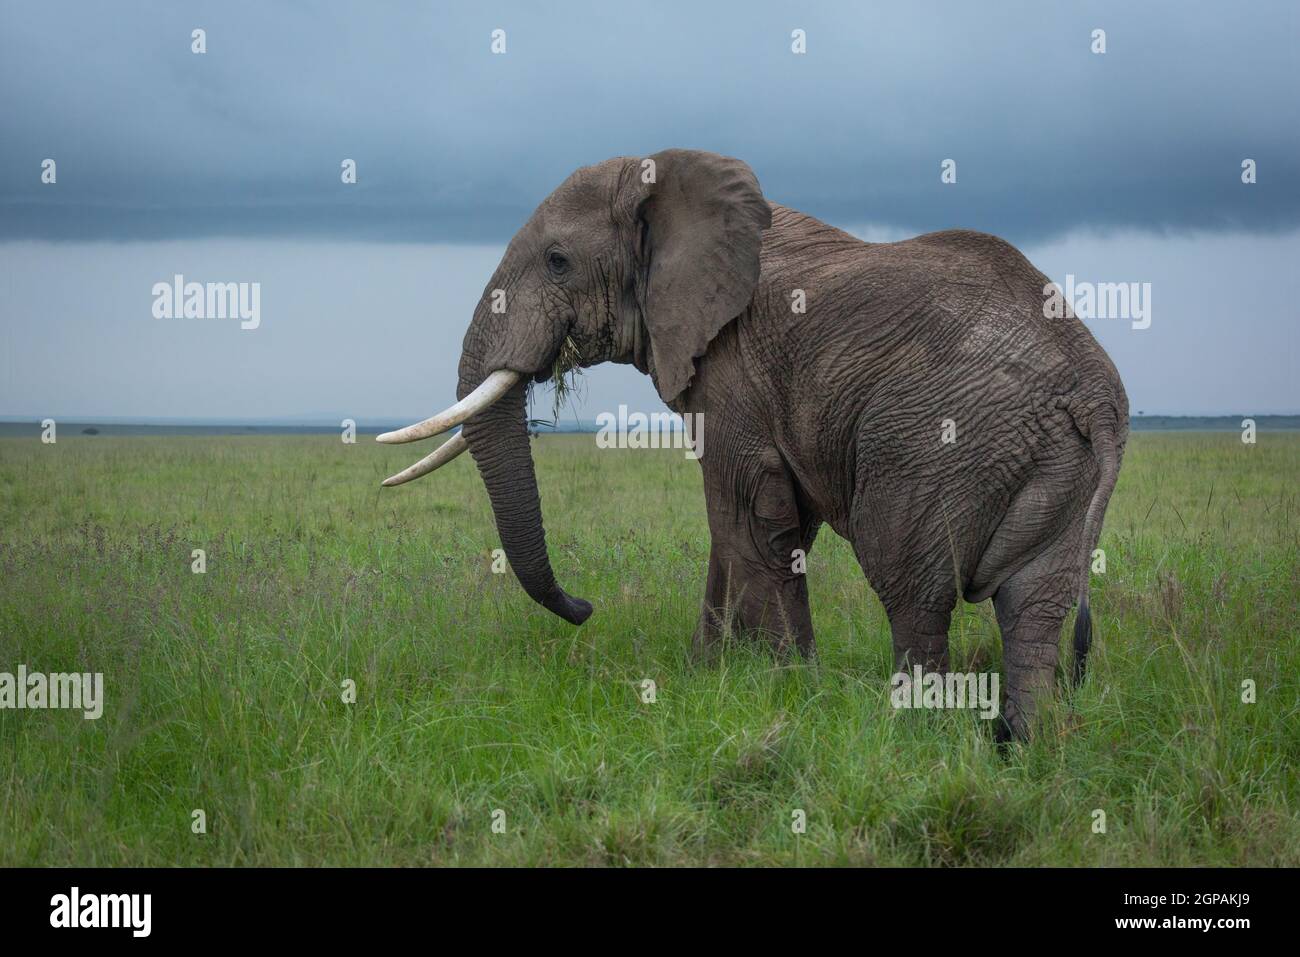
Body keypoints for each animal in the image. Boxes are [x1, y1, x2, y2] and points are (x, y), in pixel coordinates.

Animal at [377, 149, 1128, 741]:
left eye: (558, 261)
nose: (585, 609)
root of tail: (1094, 393)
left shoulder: (731, 362)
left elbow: (745, 515)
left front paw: (792, 687)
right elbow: (751, 526)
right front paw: (705, 677)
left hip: (939, 446)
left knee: (913, 589)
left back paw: (911, 734)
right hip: (1050, 464)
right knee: (1034, 605)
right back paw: (1022, 747)